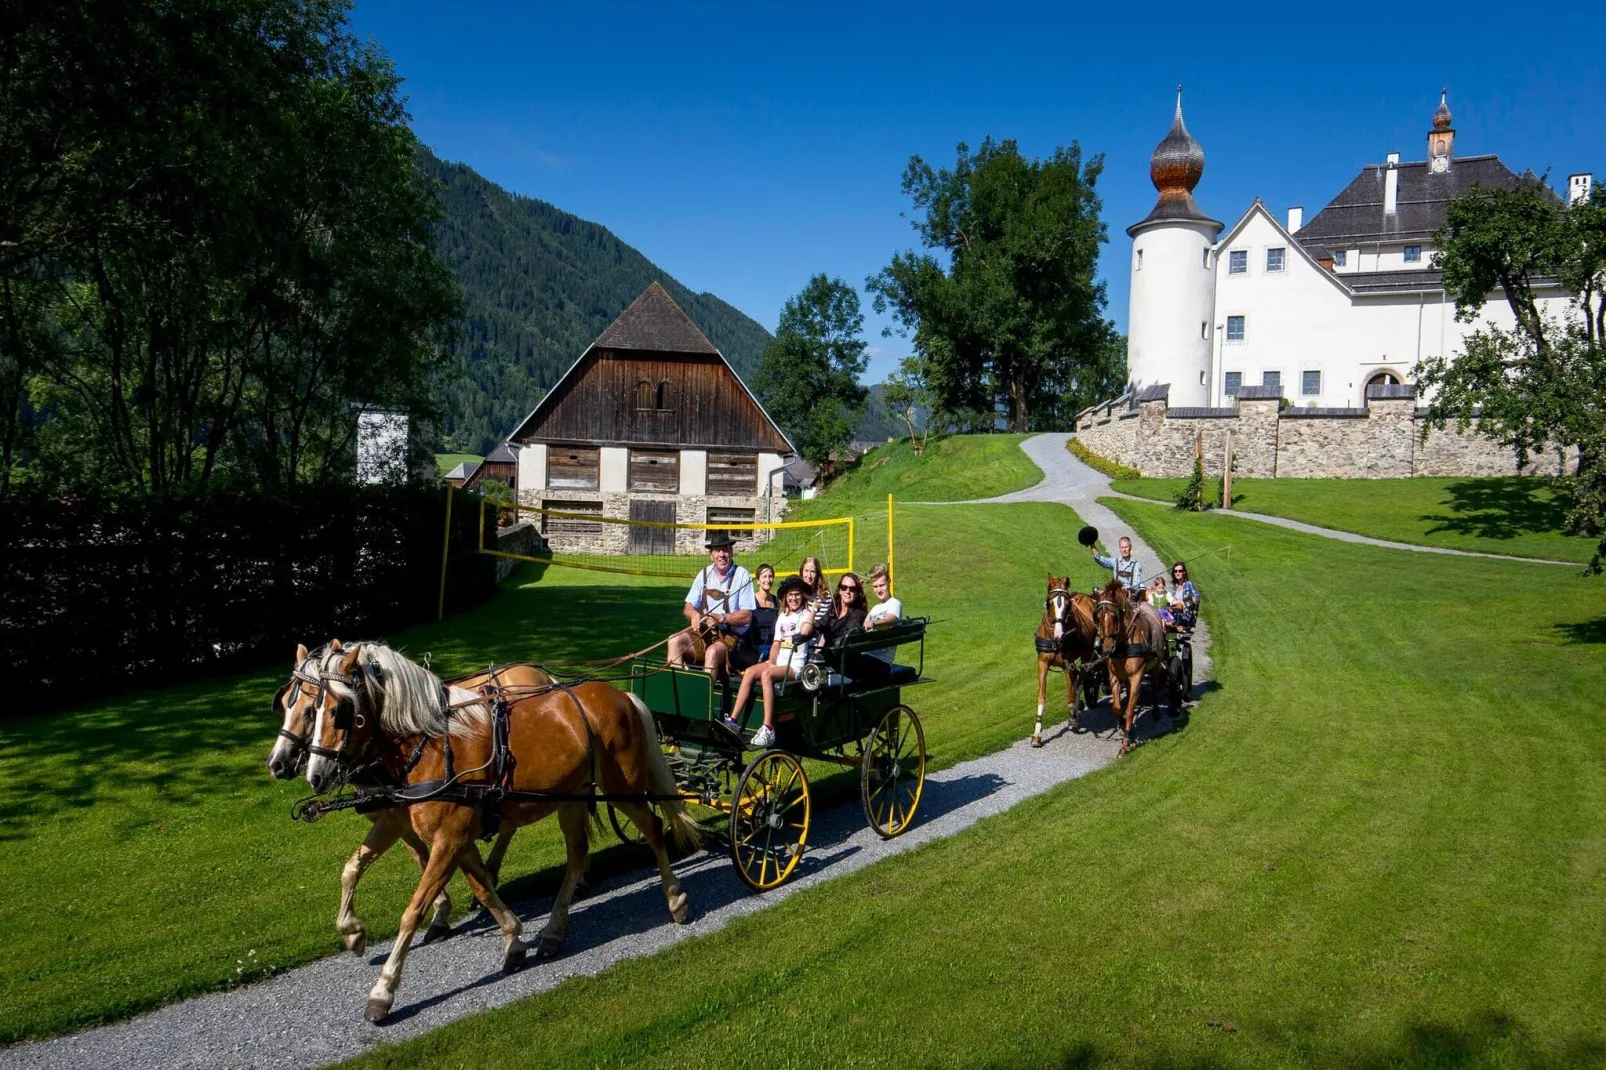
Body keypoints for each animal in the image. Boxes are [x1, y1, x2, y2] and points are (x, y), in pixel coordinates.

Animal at [263, 645, 539, 951]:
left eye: (311, 710)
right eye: (284, 704)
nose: (276, 764)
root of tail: (536, 672)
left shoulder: (403, 812)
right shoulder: (396, 813)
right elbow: (406, 858)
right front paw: (440, 913)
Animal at [301, 636, 703, 1021]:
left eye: (339, 710)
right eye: (311, 709)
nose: (314, 775)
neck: (432, 746)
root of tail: (622, 695)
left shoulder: (449, 838)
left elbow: (414, 911)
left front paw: (383, 990)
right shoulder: (432, 829)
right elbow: (472, 883)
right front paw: (512, 939)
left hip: (624, 787)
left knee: (653, 828)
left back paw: (676, 899)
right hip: (572, 797)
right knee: (577, 856)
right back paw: (553, 932)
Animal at [1034, 575, 1098, 742]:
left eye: (1068, 605)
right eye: (1049, 603)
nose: (1058, 634)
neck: (1055, 641)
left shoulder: (1067, 665)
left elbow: (1070, 694)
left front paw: (1073, 719)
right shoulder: (1042, 664)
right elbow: (1041, 697)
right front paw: (1036, 733)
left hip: (1086, 655)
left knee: (1080, 683)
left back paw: (1075, 713)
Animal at [1092, 578, 1169, 755]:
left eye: (1114, 616)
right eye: (1097, 617)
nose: (1107, 648)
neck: (1124, 644)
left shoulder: (1136, 676)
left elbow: (1129, 710)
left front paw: (1125, 744)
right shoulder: (1114, 676)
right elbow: (1117, 708)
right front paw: (1123, 725)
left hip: (1156, 664)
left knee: (1155, 686)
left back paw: (1155, 712)